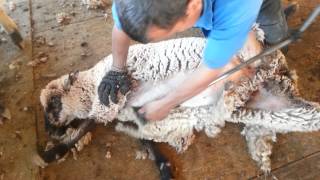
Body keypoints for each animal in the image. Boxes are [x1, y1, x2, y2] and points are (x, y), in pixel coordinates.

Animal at [37, 26, 320, 177]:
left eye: (52, 104)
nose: (49, 130)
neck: (91, 84)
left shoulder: (112, 101)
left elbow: (88, 124)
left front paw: (53, 151)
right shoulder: (130, 110)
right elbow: (144, 139)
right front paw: (164, 168)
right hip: (276, 111)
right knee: (311, 114)